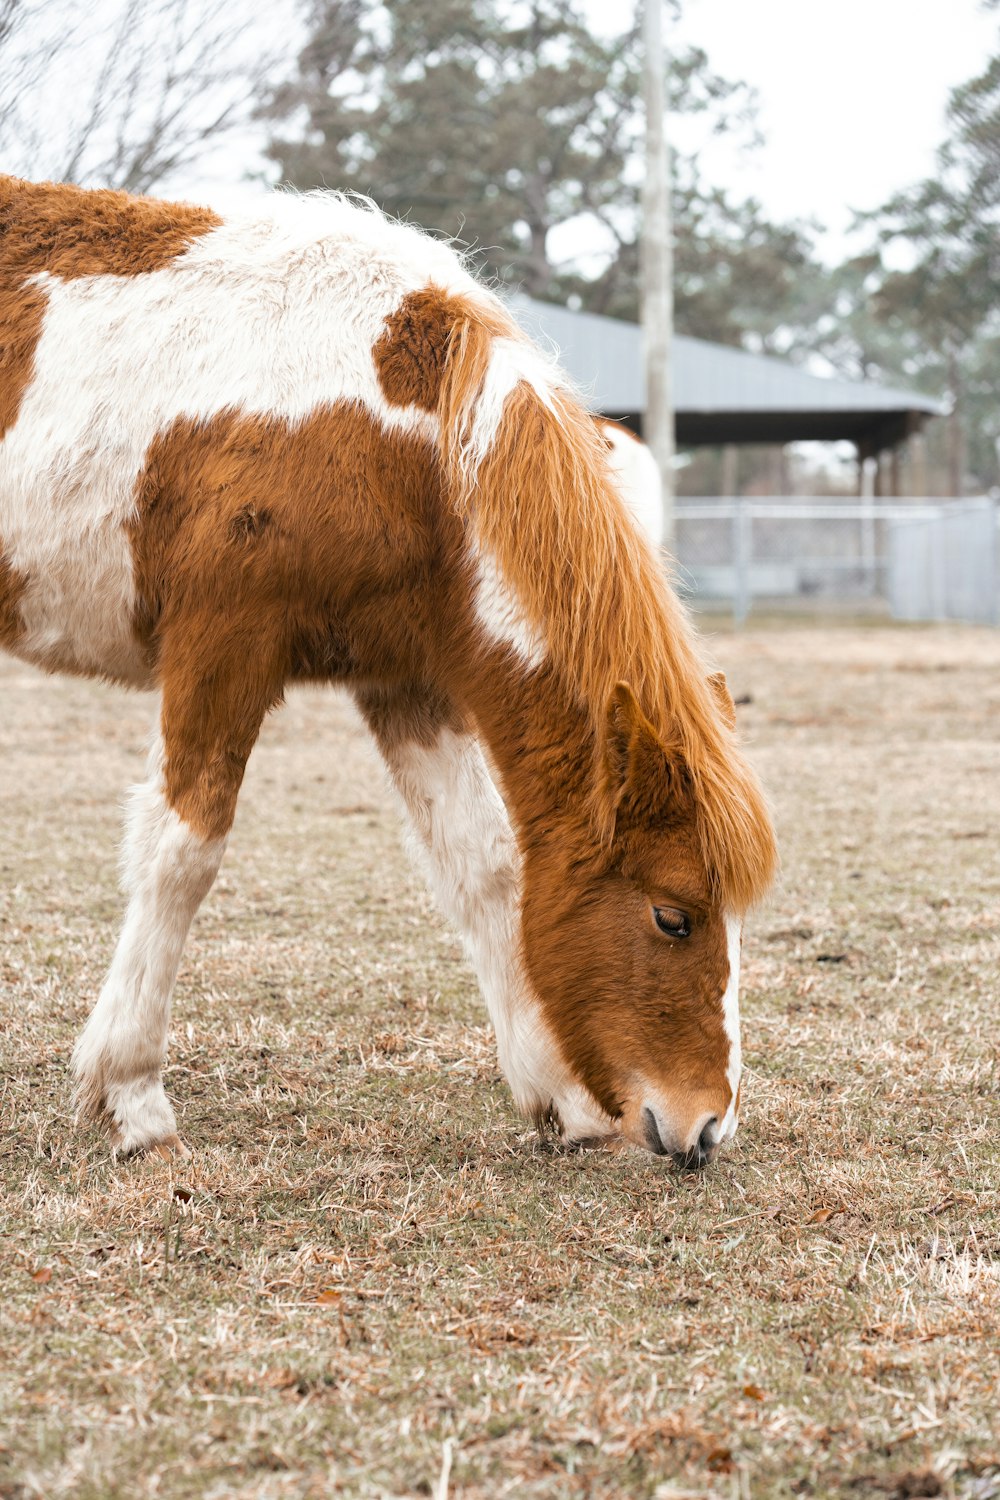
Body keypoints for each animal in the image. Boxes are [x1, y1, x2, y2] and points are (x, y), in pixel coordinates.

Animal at [0, 175, 779, 1158]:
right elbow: (183, 854)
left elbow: (484, 866)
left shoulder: (405, 680)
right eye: (672, 915)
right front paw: (131, 1095)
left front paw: (558, 1097)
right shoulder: (223, 645)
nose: (708, 1127)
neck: (405, 442)